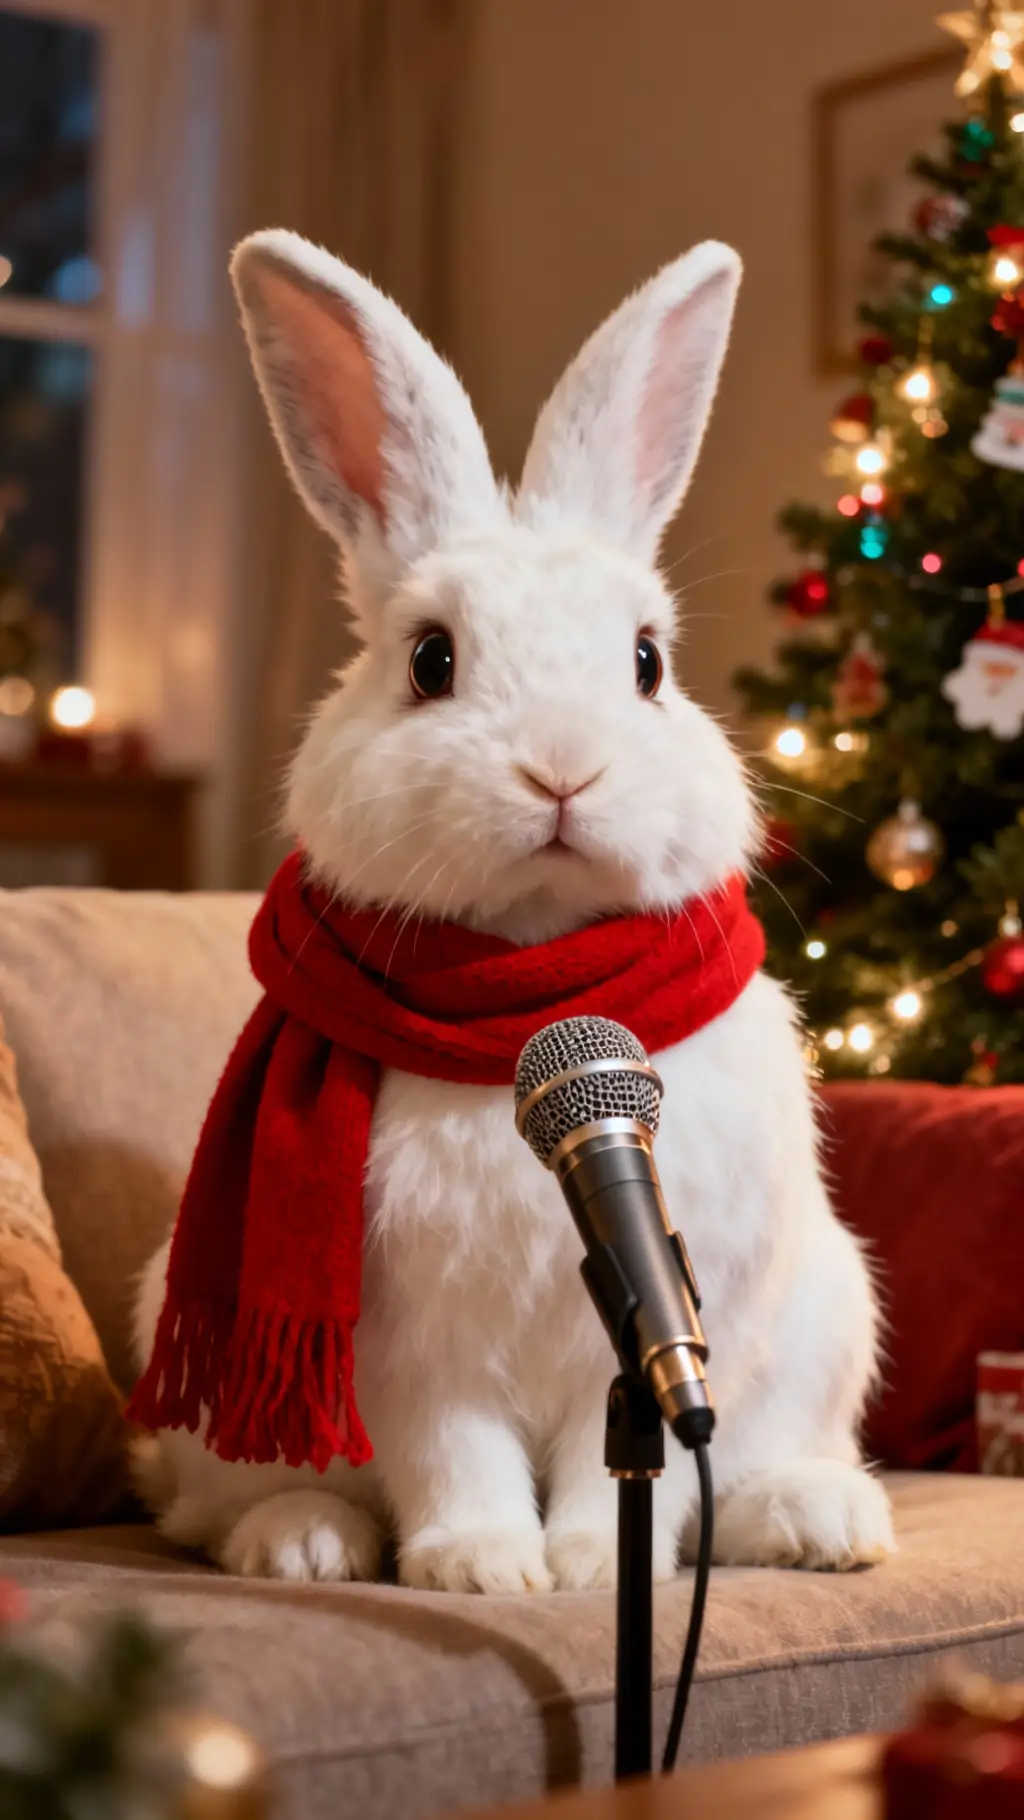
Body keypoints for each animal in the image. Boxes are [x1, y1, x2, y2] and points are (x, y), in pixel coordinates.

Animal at [132, 229, 894, 1592]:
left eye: (647, 661)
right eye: (430, 659)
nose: (561, 770)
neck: (530, 984)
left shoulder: (648, 1320)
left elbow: (626, 1468)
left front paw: (591, 1567)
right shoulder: (412, 1344)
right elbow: (456, 1454)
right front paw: (482, 1566)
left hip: (823, 1318)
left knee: (758, 1461)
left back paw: (819, 1517)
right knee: (206, 1508)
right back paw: (305, 1542)